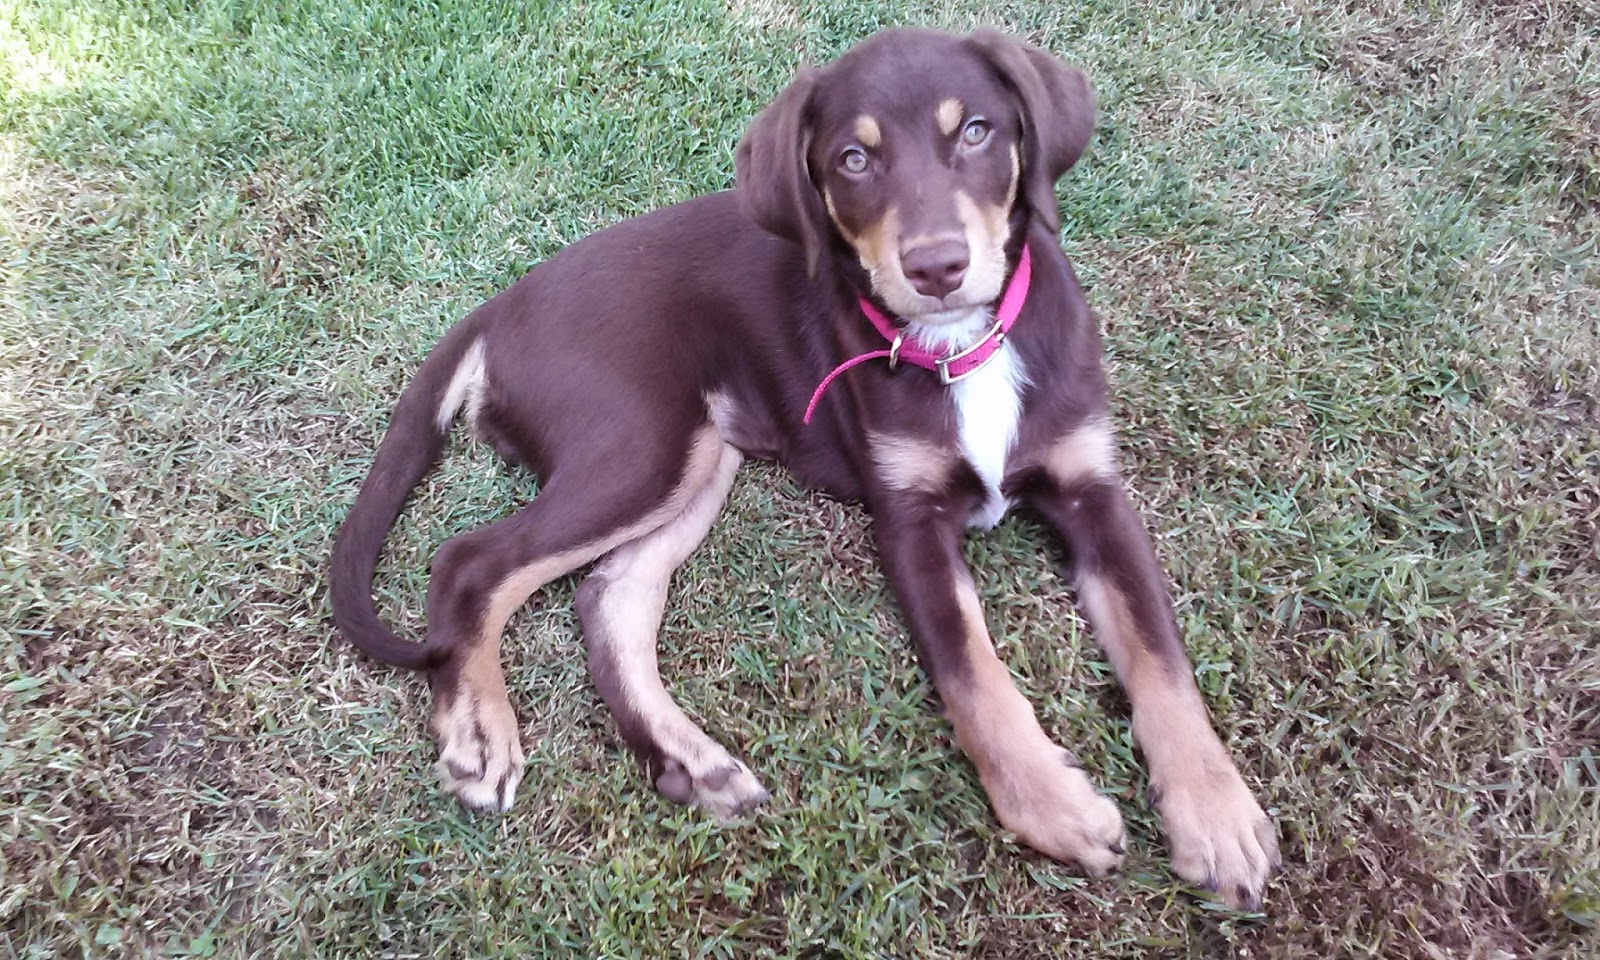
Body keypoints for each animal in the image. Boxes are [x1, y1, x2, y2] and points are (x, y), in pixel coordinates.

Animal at [330, 27, 1281, 910]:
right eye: (853, 159)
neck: (962, 349)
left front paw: (1217, 818)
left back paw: (689, 761)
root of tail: (499, 306)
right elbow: (973, 676)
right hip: (642, 444)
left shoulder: (1093, 489)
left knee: (609, 601)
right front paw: (1051, 803)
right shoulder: (908, 522)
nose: (937, 268)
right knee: (471, 562)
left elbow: (1162, 659)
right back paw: (480, 731)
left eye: (977, 131)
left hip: (699, 455)